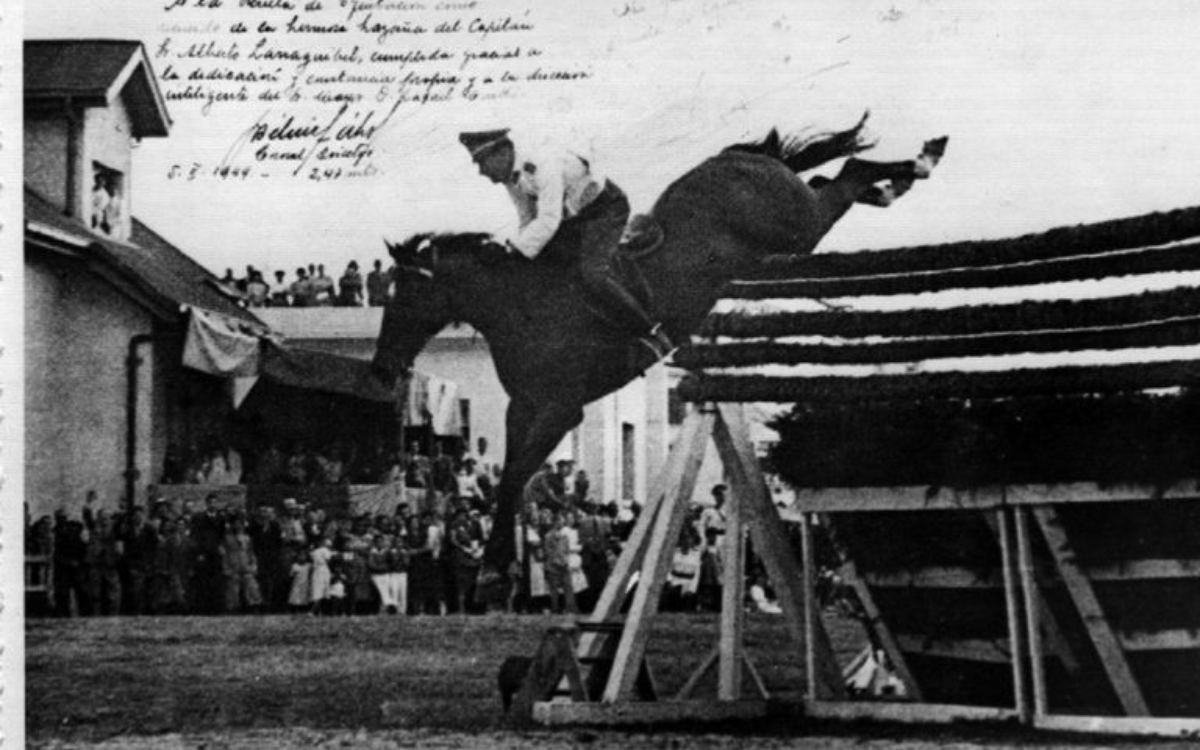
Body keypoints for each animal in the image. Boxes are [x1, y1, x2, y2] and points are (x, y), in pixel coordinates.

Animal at [374, 112, 945, 573]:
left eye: (406, 296)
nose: (383, 368)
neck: (521, 307)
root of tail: (743, 157)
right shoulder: (525, 407)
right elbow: (513, 477)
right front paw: (498, 562)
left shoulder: (560, 408)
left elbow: (516, 474)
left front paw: (496, 567)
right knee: (836, 176)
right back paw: (900, 179)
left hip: (799, 228)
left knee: (845, 175)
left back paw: (922, 161)